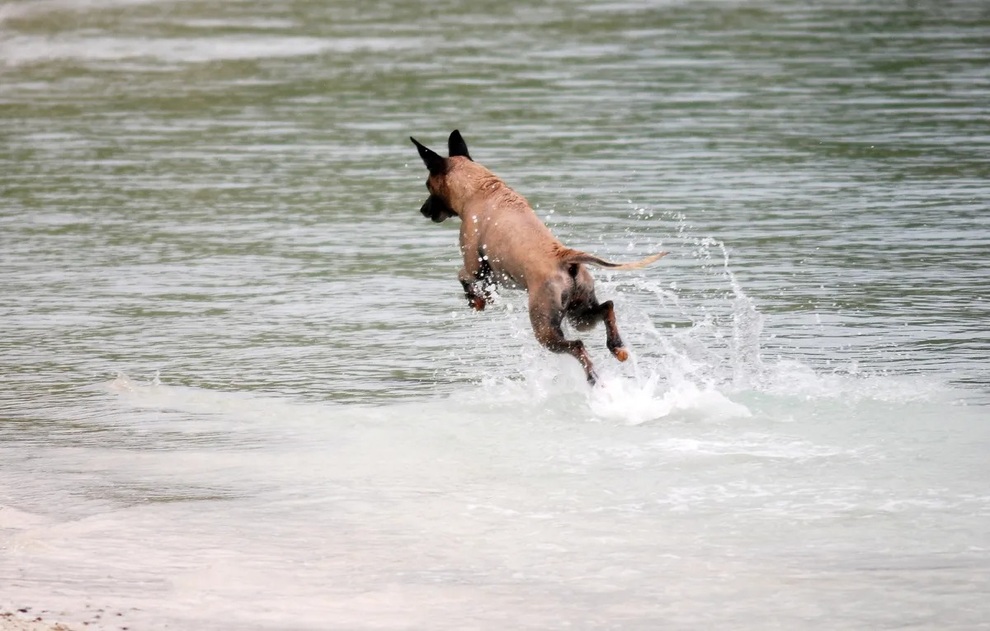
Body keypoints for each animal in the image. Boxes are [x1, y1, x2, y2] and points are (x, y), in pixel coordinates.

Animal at [410, 129, 668, 386]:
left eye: (428, 185)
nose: (423, 210)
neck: (481, 189)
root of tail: (564, 258)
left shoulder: (475, 265)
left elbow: (462, 276)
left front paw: (477, 299)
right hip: (580, 316)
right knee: (607, 307)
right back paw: (617, 347)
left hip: (545, 328)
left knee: (577, 346)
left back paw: (593, 377)